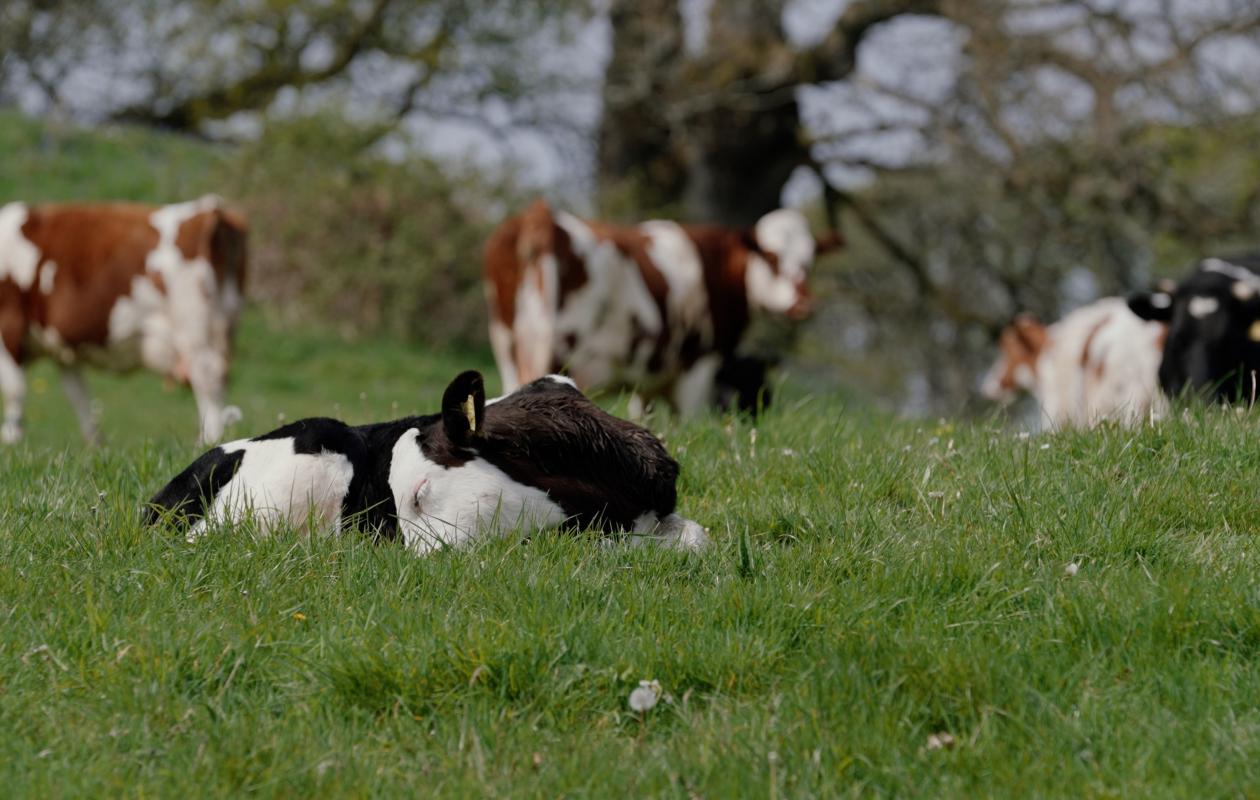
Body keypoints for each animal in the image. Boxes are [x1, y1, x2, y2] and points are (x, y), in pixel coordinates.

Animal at [0, 196, 246, 445]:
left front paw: (11, 440)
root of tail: (211, 209)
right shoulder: (61, 348)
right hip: (223, 322)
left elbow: (14, 389)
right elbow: (77, 394)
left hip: (193, 330)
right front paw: (95, 444)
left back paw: (209, 439)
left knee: (208, 376)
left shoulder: (9, 325)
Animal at [482, 199, 840, 417]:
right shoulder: (698, 365)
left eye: (810, 260)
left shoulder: (649, 378)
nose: (803, 304)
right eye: (771, 257)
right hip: (556, 347)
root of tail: (541, 213)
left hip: (506, 344)